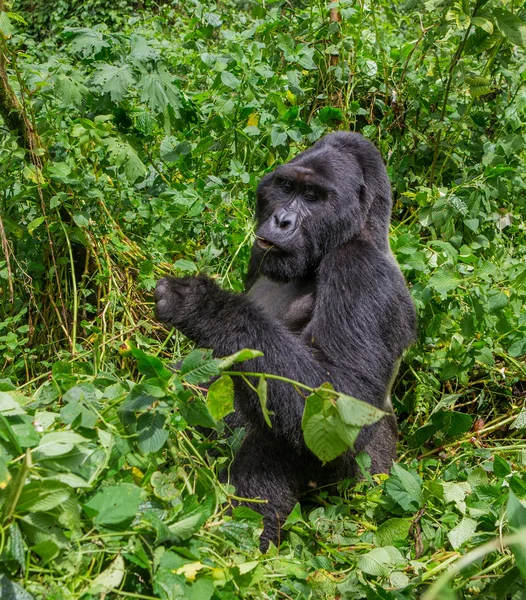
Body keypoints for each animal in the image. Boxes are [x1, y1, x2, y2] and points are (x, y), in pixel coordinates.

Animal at [155, 132, 418, 548]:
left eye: (312, 196)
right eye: (287, 187)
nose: (281, 220)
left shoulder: (359, 268)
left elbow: (341, 408)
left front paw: (205, 306)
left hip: (366, 482)